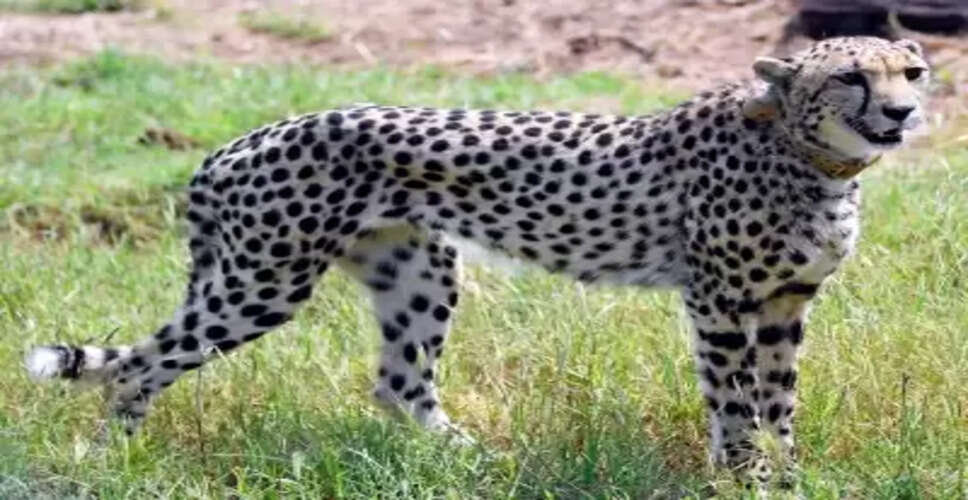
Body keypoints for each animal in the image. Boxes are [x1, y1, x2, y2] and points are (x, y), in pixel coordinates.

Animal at [25, 36, 929, 484]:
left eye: (913, 70)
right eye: (852, 76)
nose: (904, 112)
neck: (811, 155)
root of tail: (239, 140)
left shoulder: (784, 303)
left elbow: (779, 401)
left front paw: (788, 470)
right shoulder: (720, 301)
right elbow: (733, 400)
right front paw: (745, 475)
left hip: (418, 272)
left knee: (399, 383)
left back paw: (468, 458)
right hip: (263, 281)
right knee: (137, 365)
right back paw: (116, 459)